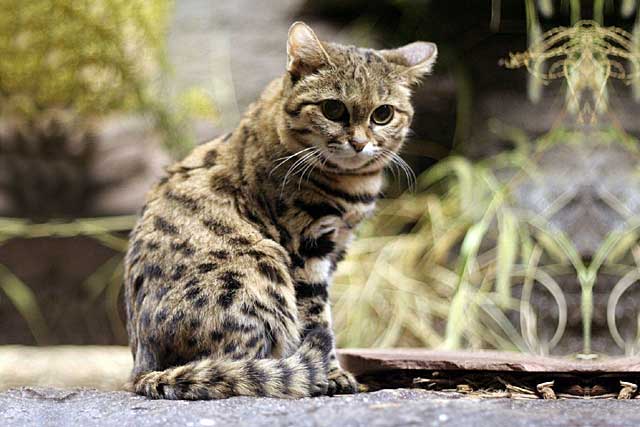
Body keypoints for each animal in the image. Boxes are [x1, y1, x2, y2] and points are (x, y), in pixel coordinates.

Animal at [123, 21, 438, 400]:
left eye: (383, 114)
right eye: (333, 109)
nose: (360, 143)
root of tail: (143, 368)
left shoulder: (336, 246)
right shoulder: (305, 247)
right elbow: (316, 315)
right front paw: (332, 374)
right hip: (260, 269)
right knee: (237, 369)